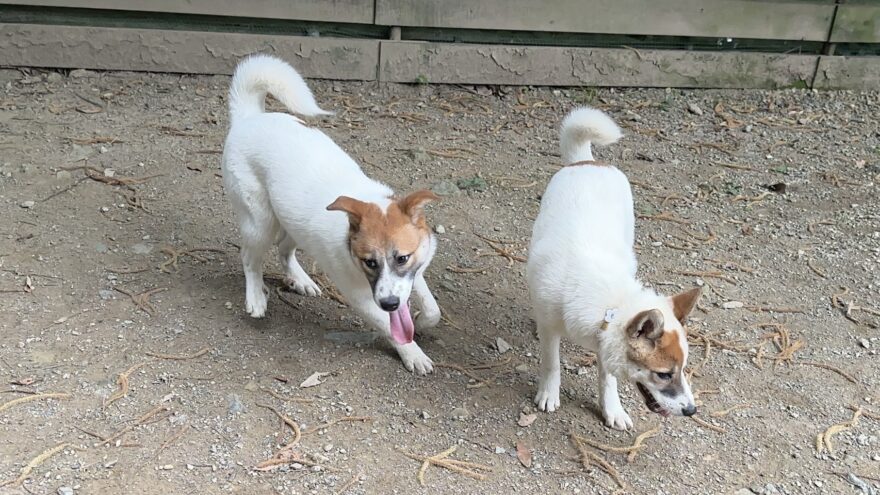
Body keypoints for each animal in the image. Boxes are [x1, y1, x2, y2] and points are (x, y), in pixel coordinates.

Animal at [221, 55, 441, 374]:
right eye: (369, 262)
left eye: (402, 258)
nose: (389, 303)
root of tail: (249, 117)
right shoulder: (363, 298)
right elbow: (392, 329)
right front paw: (412, 353)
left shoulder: (414, 271)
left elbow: (433, 309)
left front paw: (422, 321)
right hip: (259, 221)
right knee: (250, 258)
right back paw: (255, 297)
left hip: (292, 221)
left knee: (284, 249)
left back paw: (300, 279)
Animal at [527, 107, 702, 429]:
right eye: (663, 374)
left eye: (683, 368)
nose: (691, 410)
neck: (612, 304)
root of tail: (590, 161)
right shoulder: (550, 328)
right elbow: (551, 362)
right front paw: (549, 393)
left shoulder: (603, 342)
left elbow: (607, 379)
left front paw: (612, 409)